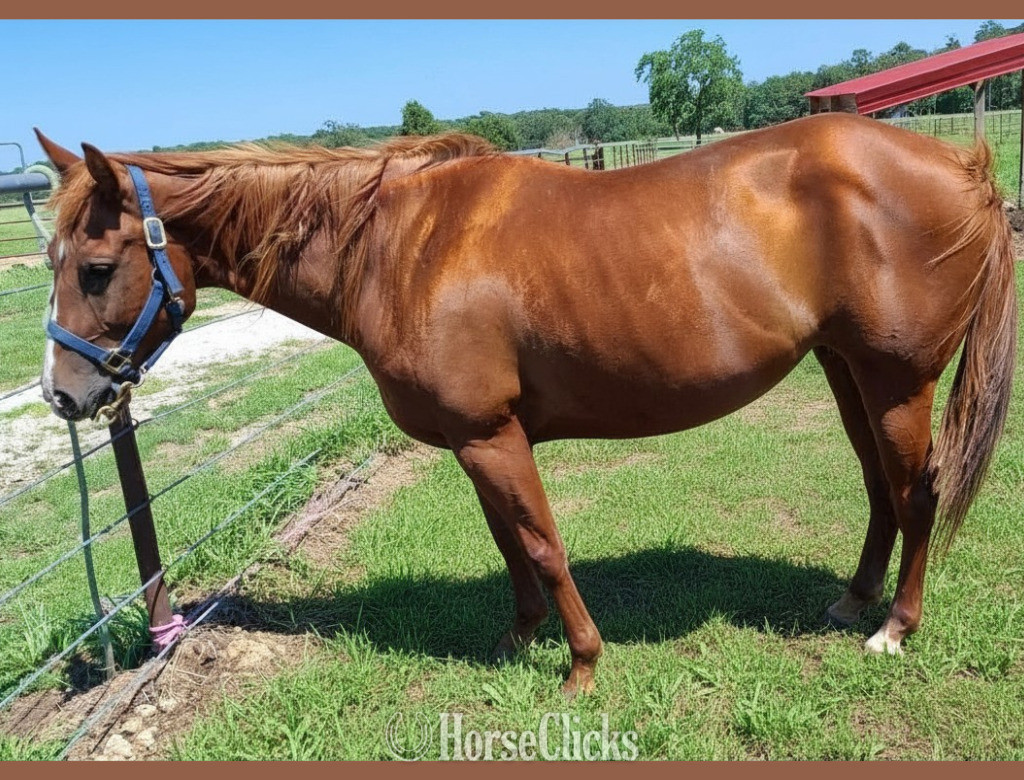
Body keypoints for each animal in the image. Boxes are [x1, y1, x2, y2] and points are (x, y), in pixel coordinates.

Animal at [33, 112, 1016, 696]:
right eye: (50, 261)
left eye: (97, 268)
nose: (63, 394)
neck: (396, 246)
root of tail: (962, 164)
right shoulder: (477, 440)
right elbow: (508, 543)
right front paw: (519, 640)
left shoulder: (490, 433)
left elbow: (542, 543)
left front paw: (581, 665)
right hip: (846, 369)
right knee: (879, 490)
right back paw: (854, 600)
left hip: (898, 381)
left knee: (917, 493)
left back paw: (893, 628)